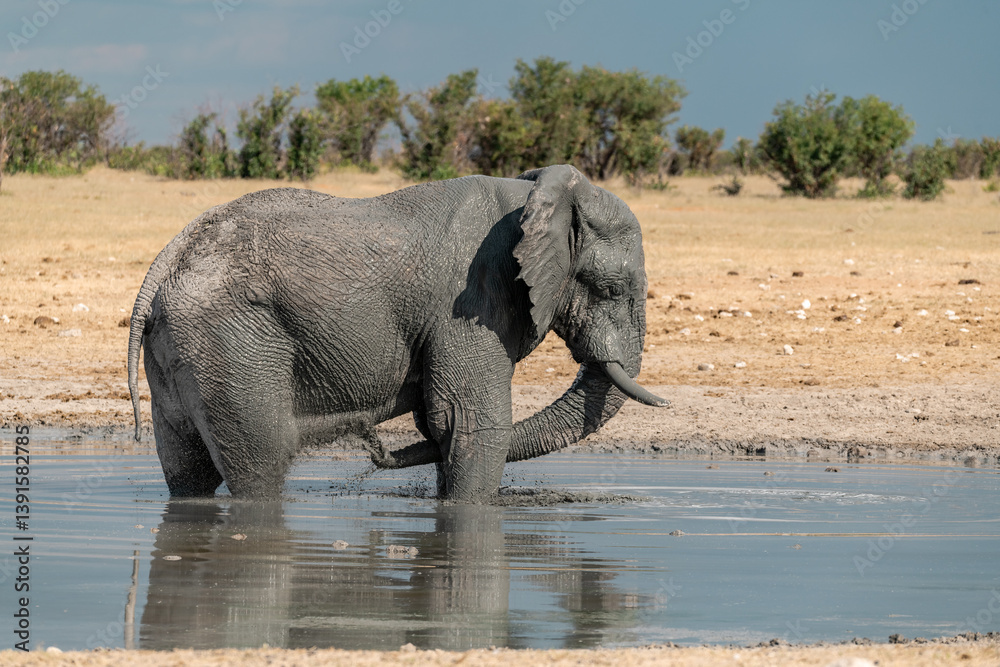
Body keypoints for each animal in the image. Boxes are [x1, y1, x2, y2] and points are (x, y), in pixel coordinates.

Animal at [127, 164, 668, 502]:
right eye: (612, 288)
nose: (372, 445)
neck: (535, 195)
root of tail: (164, 265)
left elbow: (444, 424)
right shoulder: (472, 302)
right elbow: (471, 423)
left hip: (182, 347)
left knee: (188, 468)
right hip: (231, 340)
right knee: (262, 461)